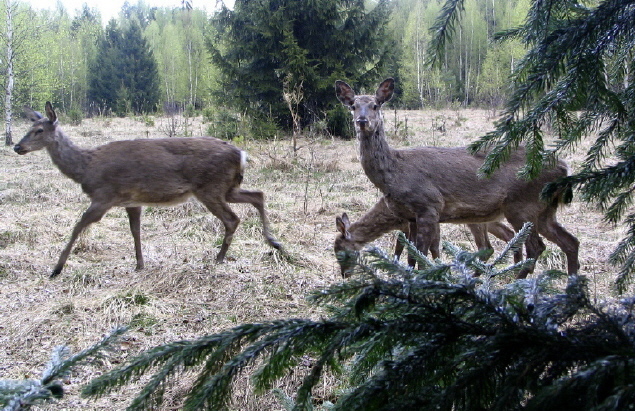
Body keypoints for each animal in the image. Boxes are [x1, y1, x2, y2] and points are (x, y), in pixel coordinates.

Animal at [12, 101, 280, 278]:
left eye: (39, 130)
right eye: (28, 128)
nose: (16, 147)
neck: (86, 168)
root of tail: (241, 154)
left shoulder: (104, 196)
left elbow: (78, 226)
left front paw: (56, 268)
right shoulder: (132, 201)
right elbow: (135, 231)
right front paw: (140, 264)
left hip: (210, 188)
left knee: (232, 218)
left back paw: (219, 257)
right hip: (228, 187)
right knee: (258, 195)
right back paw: (273, 241)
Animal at [332, 197, 520, 278]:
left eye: (340, 253)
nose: (344, 274)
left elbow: (428, 247)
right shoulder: (407, 225)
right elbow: (404, 247)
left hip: (475, 218)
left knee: (486, 247)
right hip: (488, 218)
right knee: (508, 234)